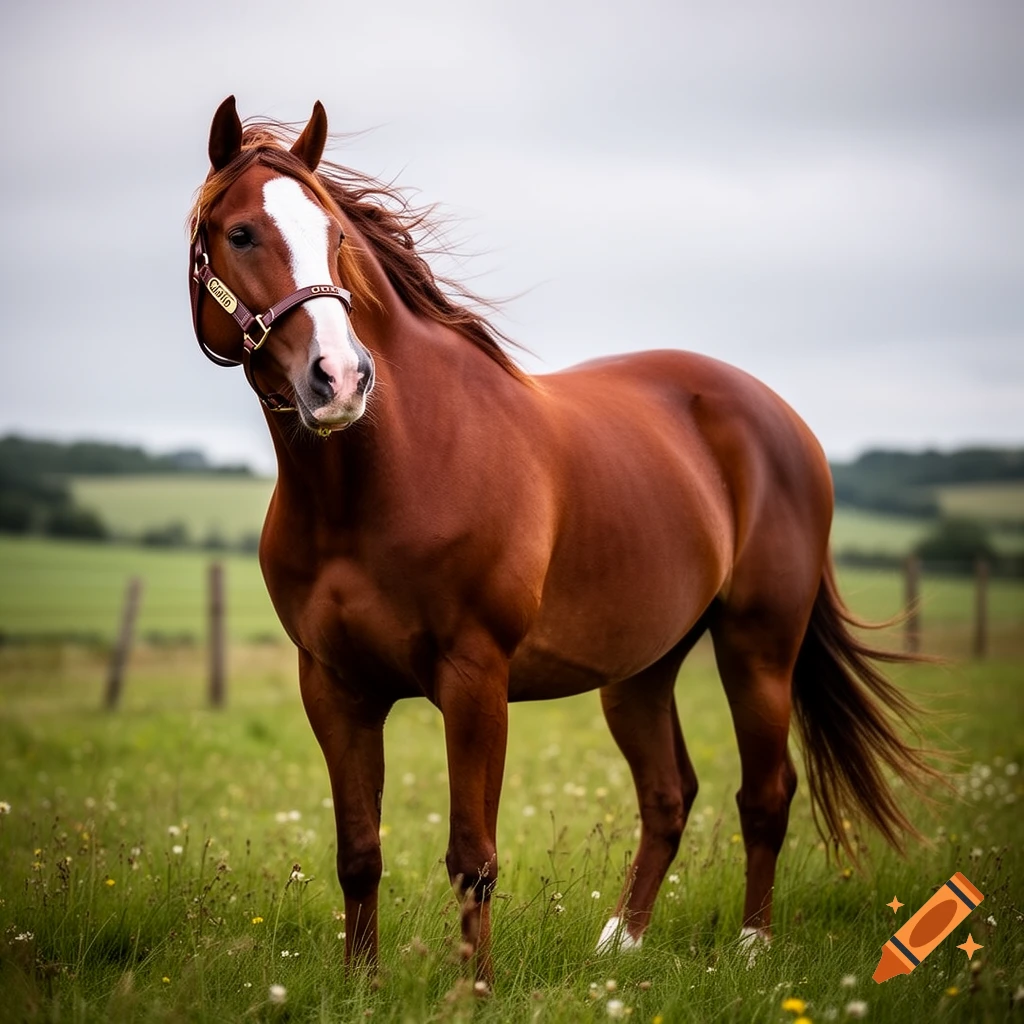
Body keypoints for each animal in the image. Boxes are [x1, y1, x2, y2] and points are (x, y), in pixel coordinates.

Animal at [188, 96, 938, 982]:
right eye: (240, 233)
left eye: (335, 236)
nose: (339, 379)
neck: (384, 475)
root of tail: (780, 419)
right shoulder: (334, 686)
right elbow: (359, 851)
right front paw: (361, 986)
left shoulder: (475, 679)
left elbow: (472, 857)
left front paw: (472, 990)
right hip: (640, 671)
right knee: (669, 795)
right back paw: (623, 942)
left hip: (758, 649)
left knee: (765, 793)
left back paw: (752, 949)